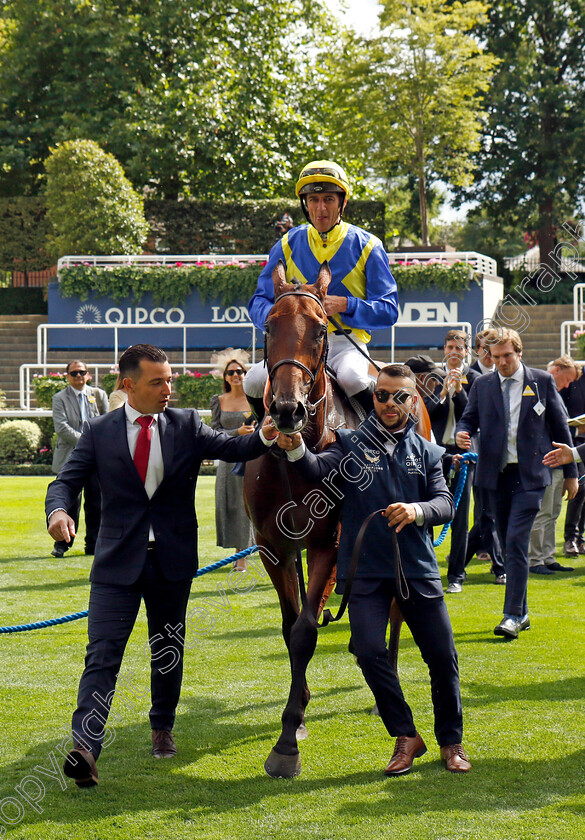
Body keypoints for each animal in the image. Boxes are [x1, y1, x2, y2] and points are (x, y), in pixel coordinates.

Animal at [242, 260, 428, 776]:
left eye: (322, 329)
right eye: (269, 326)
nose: (286, 410)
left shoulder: (330, 543)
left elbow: (306, 630)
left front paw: (286, 743)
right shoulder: (273, 548)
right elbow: (291, 627)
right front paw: (299, 709)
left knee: (397, 603)